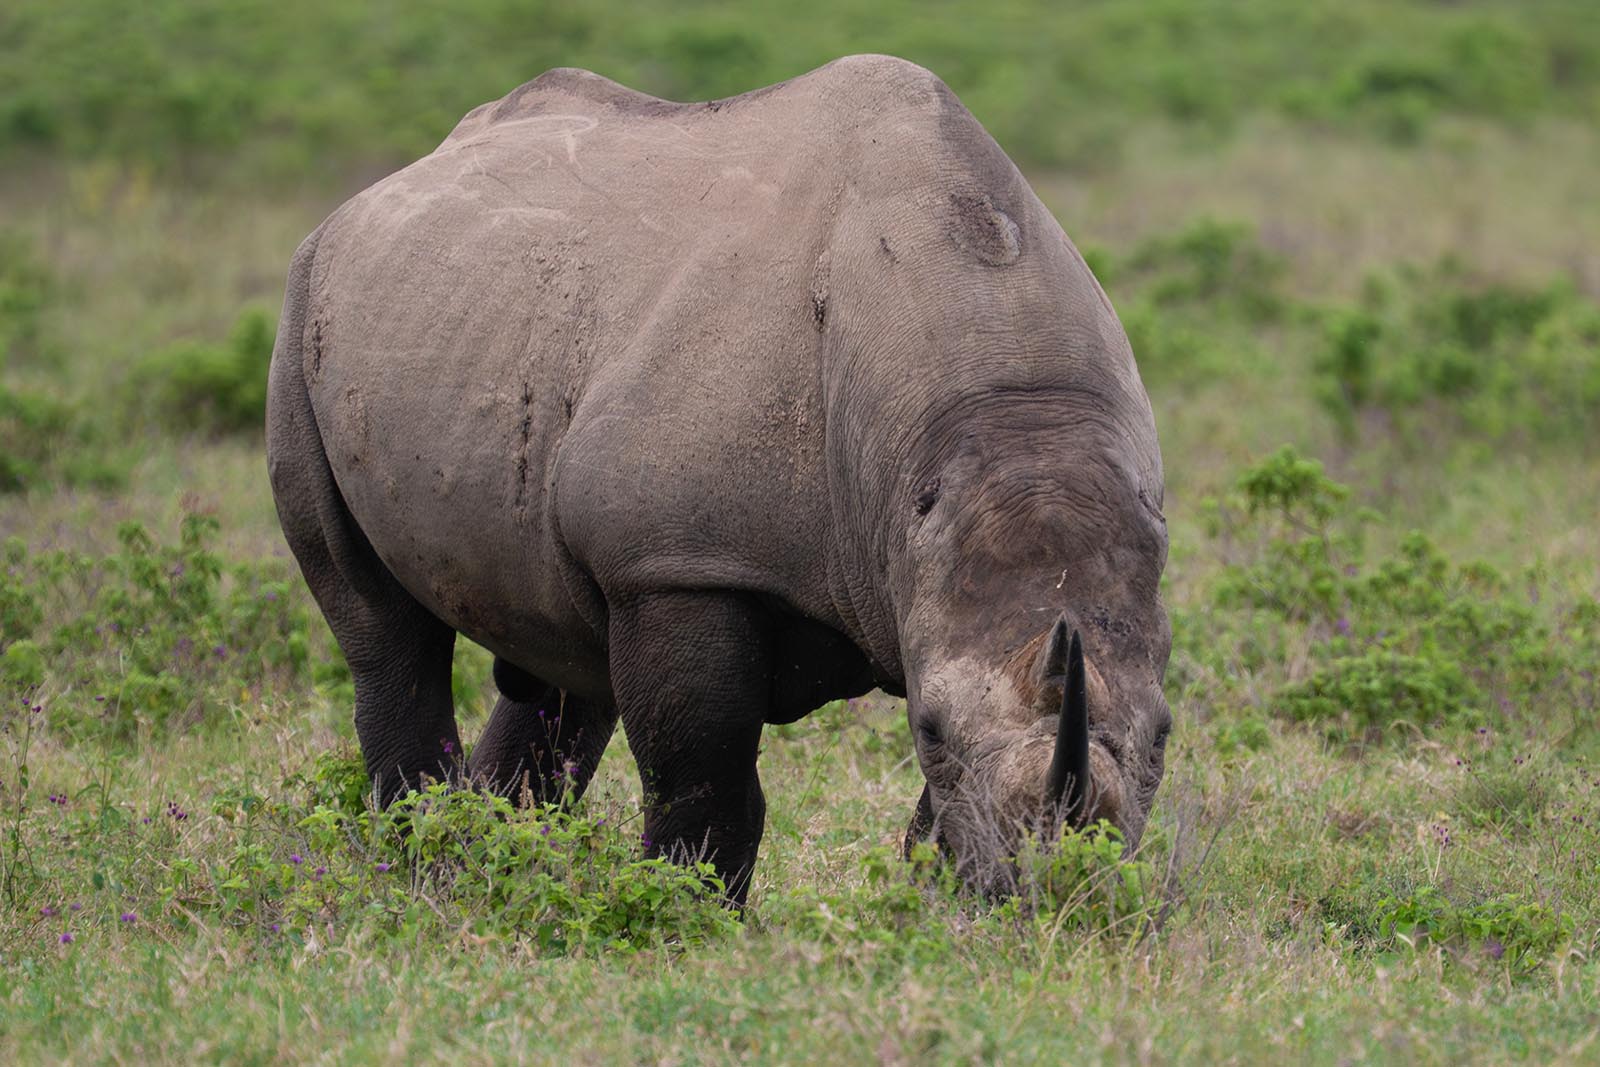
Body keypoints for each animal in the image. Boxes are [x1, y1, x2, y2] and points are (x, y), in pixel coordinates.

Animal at [267, 54, 1171, 902]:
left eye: (1165, 733)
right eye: (929, 728)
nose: (1059, 885)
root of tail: (390, 183)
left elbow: (936, 813)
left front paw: (940, 898)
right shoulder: (675, 561)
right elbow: (707, 783)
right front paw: (683, 915)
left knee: (561, 657)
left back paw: (486, 867)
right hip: (304, 302)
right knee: (385, 631)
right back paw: (422, 871)